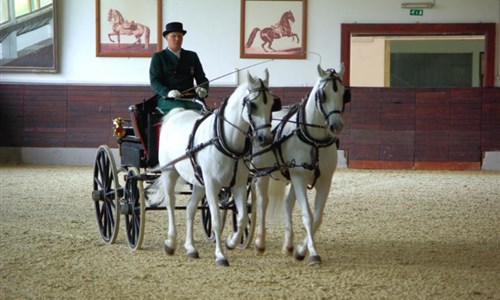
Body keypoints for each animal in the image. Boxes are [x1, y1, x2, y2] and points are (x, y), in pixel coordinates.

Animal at [154, 70, 280, 268]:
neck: (224, 140)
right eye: (252, 105)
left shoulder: (238, 185)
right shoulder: (212, 185)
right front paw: (220, 255)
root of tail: (177, 114)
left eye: (271, 104)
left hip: (198, 182)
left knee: (190, 208)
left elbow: (242, 217)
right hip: (169, 173)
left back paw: (190, 248)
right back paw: (171, 243)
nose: (264, 139)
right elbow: (215, 220)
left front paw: (231, 242)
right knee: (170, 204)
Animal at [252, 63, 350, 264]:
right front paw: (313, 254)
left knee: (287, 203)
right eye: (322, 94)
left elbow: (317, 218)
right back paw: (259, 243)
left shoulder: (324, 180)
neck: (314, 141)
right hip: (263, 173)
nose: (336, 126)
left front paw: (300, 250)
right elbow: (307, 216)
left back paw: (288, 245)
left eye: (344, 93)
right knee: (262, 203)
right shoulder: (299, 177)